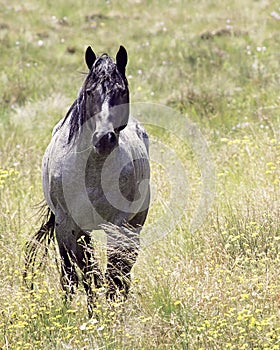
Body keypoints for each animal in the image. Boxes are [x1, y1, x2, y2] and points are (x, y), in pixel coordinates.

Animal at [25, 45, 150, 316]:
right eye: (91, 92)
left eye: (121, 91)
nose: (104, 139)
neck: (92, 171)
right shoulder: (67, 226)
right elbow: (78, 274)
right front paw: (81, 314)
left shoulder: (118, 226)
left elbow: (112, 275)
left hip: (133, 226)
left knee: (123, 273)